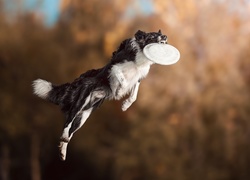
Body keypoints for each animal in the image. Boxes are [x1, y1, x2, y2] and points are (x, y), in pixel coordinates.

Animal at [32, 29, 167, 160]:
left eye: (160, 34)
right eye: (153, 35)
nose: (165, 37)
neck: (140, 53)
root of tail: (76, 81)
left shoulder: (137, 77)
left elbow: (134, 96)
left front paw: (125, 105)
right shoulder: (115, 68)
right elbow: (122, 80)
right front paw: (119, 91)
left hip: (83, 117)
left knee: (71, 132)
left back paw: (62, 151)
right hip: (80, 102)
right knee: (68, 122)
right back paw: (64, 137)